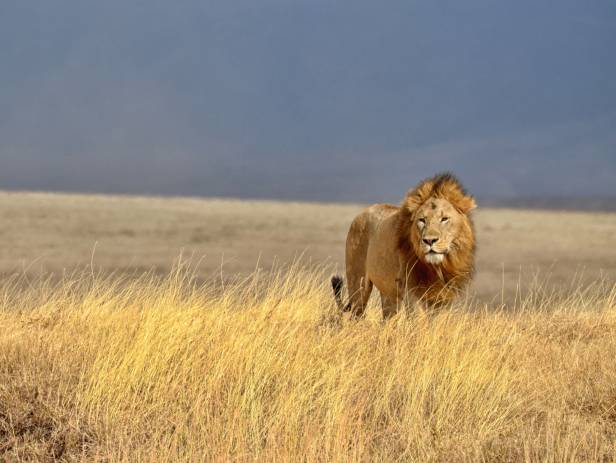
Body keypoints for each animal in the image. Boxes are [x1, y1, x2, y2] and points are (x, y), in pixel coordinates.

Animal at [332, 172, 476, 320]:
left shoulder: (444, 296)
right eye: (422, 220)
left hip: (388, 293)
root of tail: (361, 213)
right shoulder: (411, 291)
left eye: (444, 219)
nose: (429, 240)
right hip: (358, 284)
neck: (437, 267)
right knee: (356, 315)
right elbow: (418, 320)